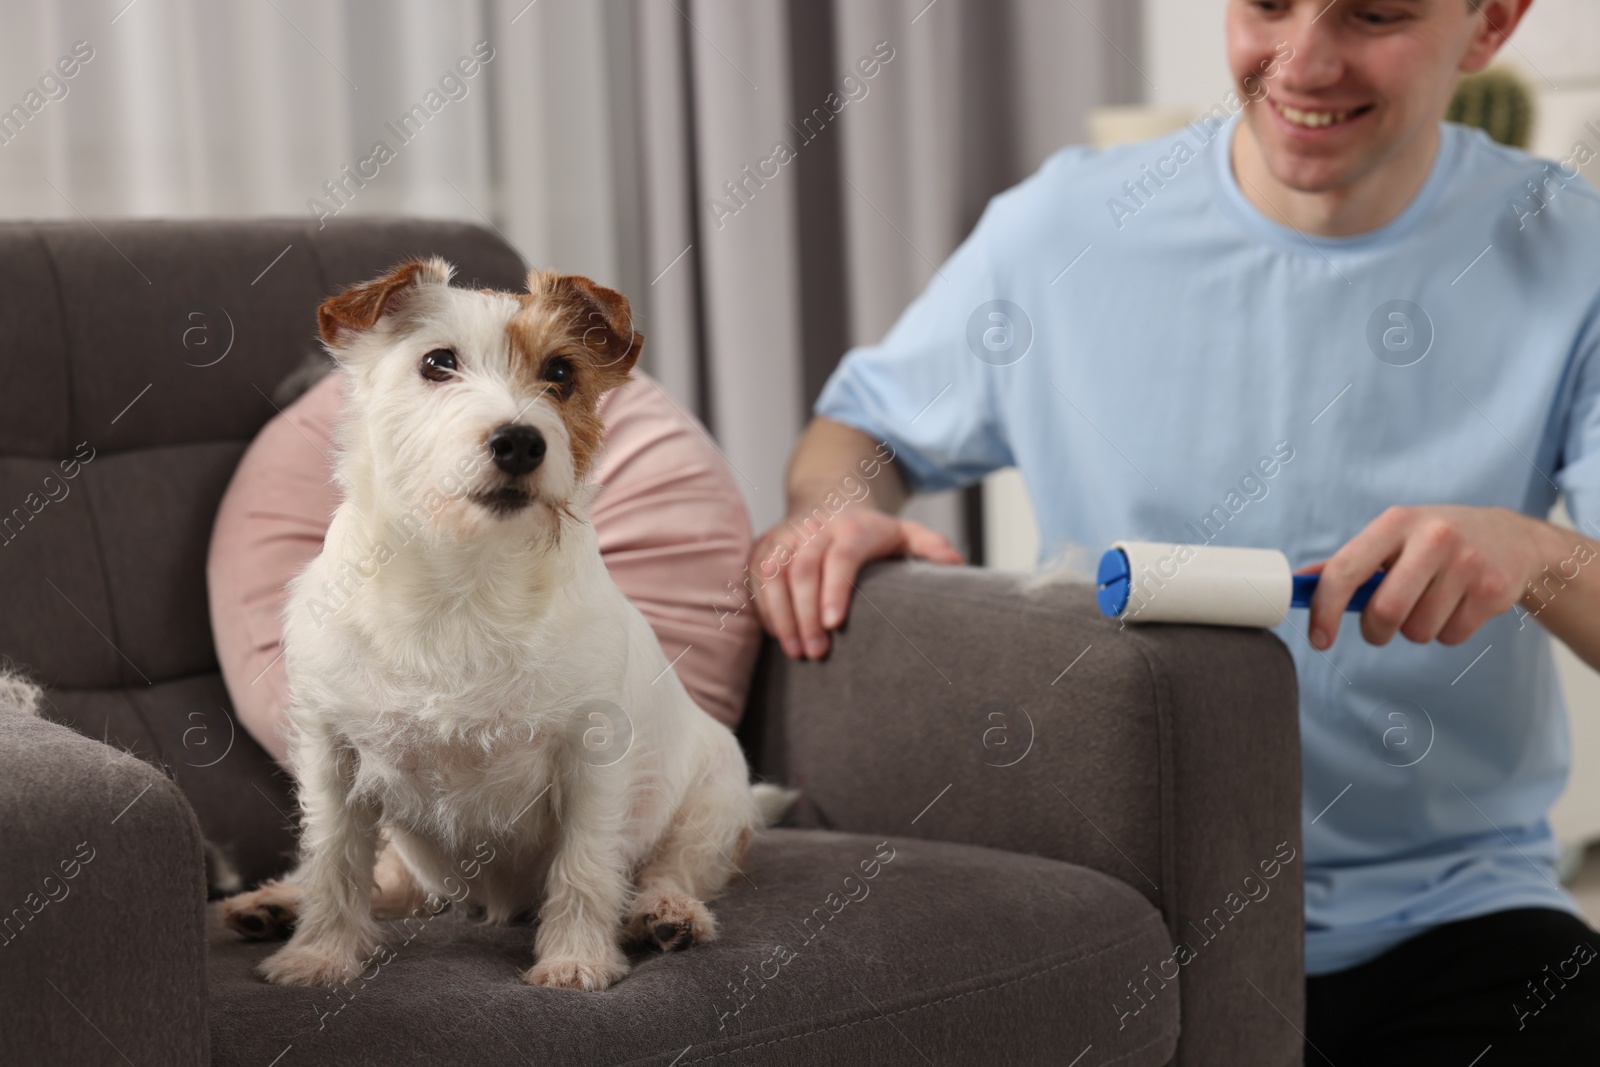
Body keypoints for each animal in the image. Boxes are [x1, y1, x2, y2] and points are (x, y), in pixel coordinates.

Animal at [225, 259, 787, 991]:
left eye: (561, 373)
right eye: (437, 363)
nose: (520, 440)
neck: (464, 582)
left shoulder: (592, 760)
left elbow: (584, 868)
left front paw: (576, 960)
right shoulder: (332, 758)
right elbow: (334, 864)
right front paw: (319, 954)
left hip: (714, 804)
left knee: (674, 867)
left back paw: (667, 914)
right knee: (392, 883)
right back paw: (274, 903)